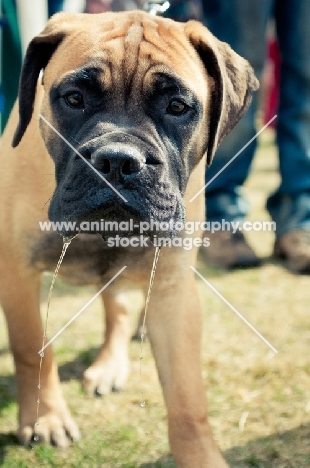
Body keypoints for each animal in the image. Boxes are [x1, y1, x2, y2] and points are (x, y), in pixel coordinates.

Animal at [0, 11, 258, 468]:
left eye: (177, 107)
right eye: (73, 98)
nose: (118, 161)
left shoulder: (173, 290)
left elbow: (187, 398)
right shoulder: (17, 272)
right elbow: (33, 350)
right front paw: (46, 417)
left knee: (118, 310)